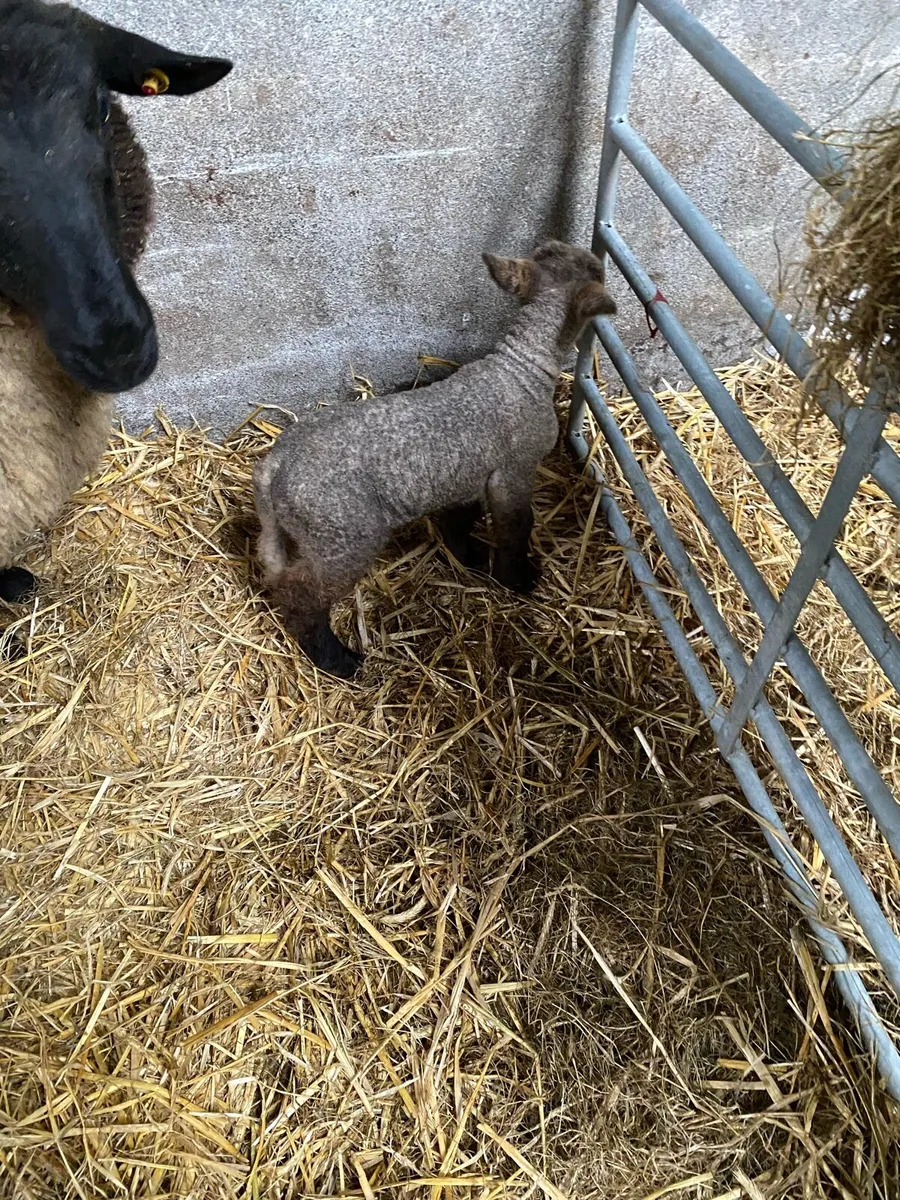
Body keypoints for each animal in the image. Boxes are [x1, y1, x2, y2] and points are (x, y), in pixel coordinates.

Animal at [253, 239, 616, 679]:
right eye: (596, 270)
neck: (521, 369)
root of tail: (274, 467)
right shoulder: (514, 470)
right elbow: (516, 526)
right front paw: (517, 577)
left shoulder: (466, 477)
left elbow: (459, 520)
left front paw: (471, 556)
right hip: (342, 536)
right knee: (302, 594)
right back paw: (337, 660)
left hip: (294, 532)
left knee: (275, 569)